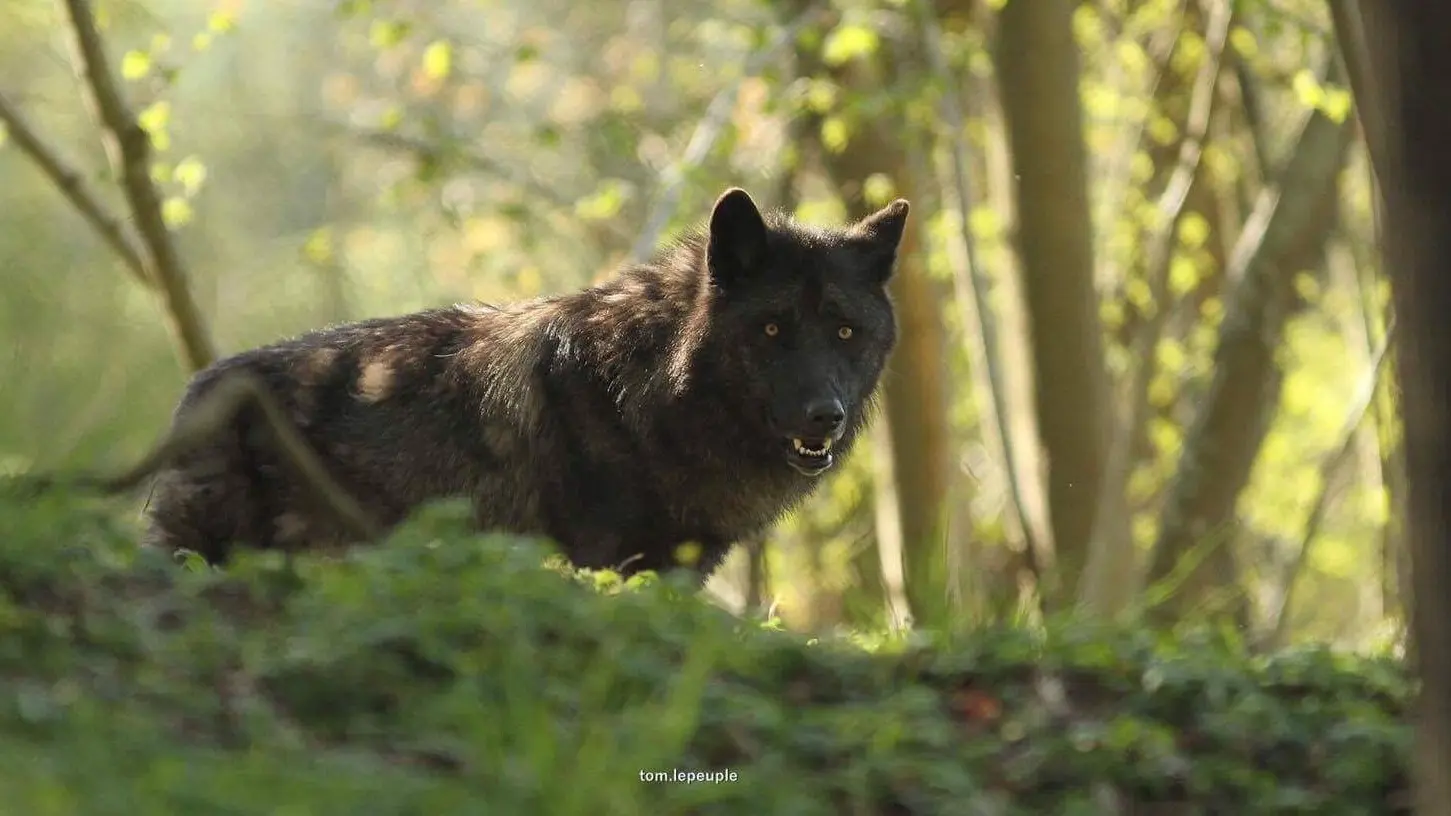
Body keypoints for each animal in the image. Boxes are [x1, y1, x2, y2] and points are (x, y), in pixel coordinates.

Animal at [150, 185, 917, 577]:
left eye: (845, 332)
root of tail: (197, 391)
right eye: (772, 330)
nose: (824, 414)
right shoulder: (598, 561)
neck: (642, 393)